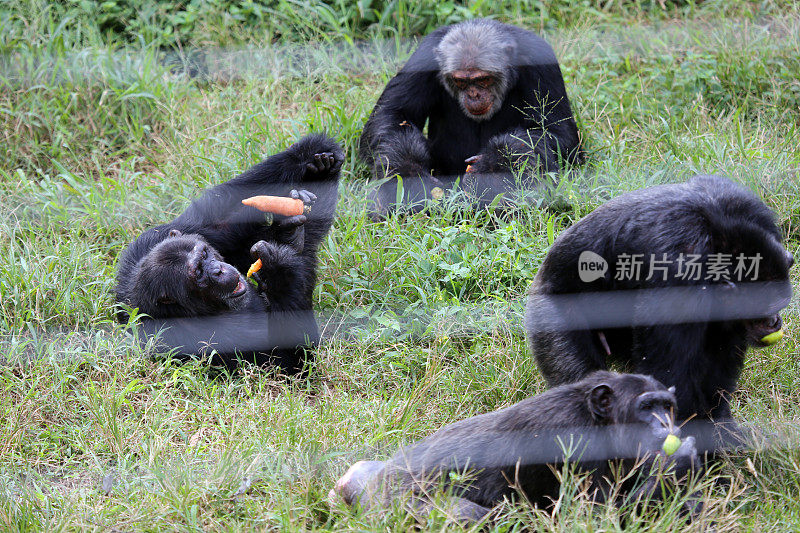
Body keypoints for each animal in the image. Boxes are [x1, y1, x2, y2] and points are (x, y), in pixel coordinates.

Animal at [115, 134, 344, 374]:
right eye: (199, 273)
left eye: (204, 254)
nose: (217, 270)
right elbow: (285, 364)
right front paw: (279, 272)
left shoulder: (158, 237)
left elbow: (224, 208)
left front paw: (310, 158)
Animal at [328, 372, 696, 520]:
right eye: (646, 407)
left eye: (667, 406)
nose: (665, 424)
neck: (599, 420)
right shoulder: (572, 441)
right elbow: (590, 517)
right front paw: (679, 461)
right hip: (394, 505)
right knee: (468, 515)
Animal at [360, 17, 580, 215]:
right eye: (460, 81)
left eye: (483, 79)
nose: (474, 95)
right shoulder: (422, 59)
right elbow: (394, 113)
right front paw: (409, 177)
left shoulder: (541, 61)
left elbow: (558, 133)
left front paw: (493, 166)